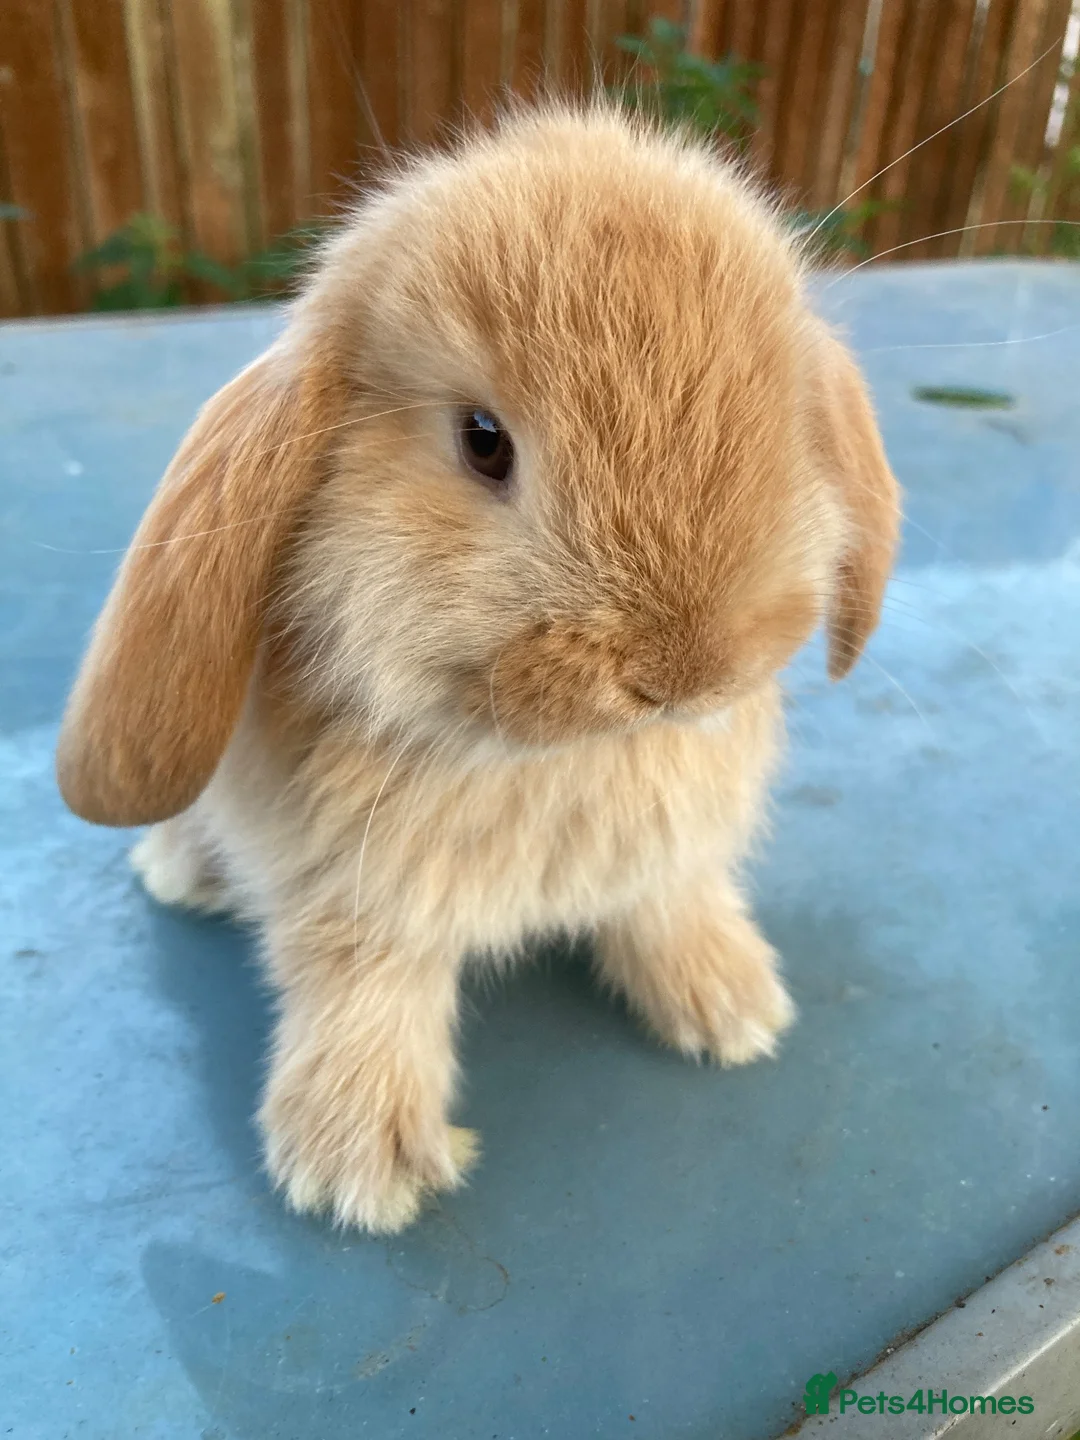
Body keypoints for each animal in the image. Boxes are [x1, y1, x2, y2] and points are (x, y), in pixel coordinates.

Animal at [56, 105, 900, 1233]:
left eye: (786, 420)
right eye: (484, 441)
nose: (687, 673)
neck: (547, 756)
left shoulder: (665, 861)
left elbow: (669, 905)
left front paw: (732, 1009)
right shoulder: (352, 899)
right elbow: (365, 993)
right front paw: (361, 1172)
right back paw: (181, 875)